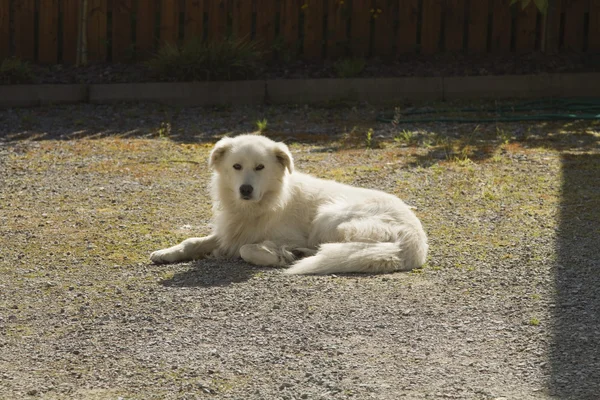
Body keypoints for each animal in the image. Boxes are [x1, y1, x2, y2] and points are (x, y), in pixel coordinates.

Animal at [152, 134, 428, 276]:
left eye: (260, 167)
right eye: (237, 166)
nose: (245, 190)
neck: (269, 201)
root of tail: (415, 239)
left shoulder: (277, 235)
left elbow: (247, 249)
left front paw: (273, 255)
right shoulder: (230, 232)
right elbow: (192, 241)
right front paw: (166, 253)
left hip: (328, 216)